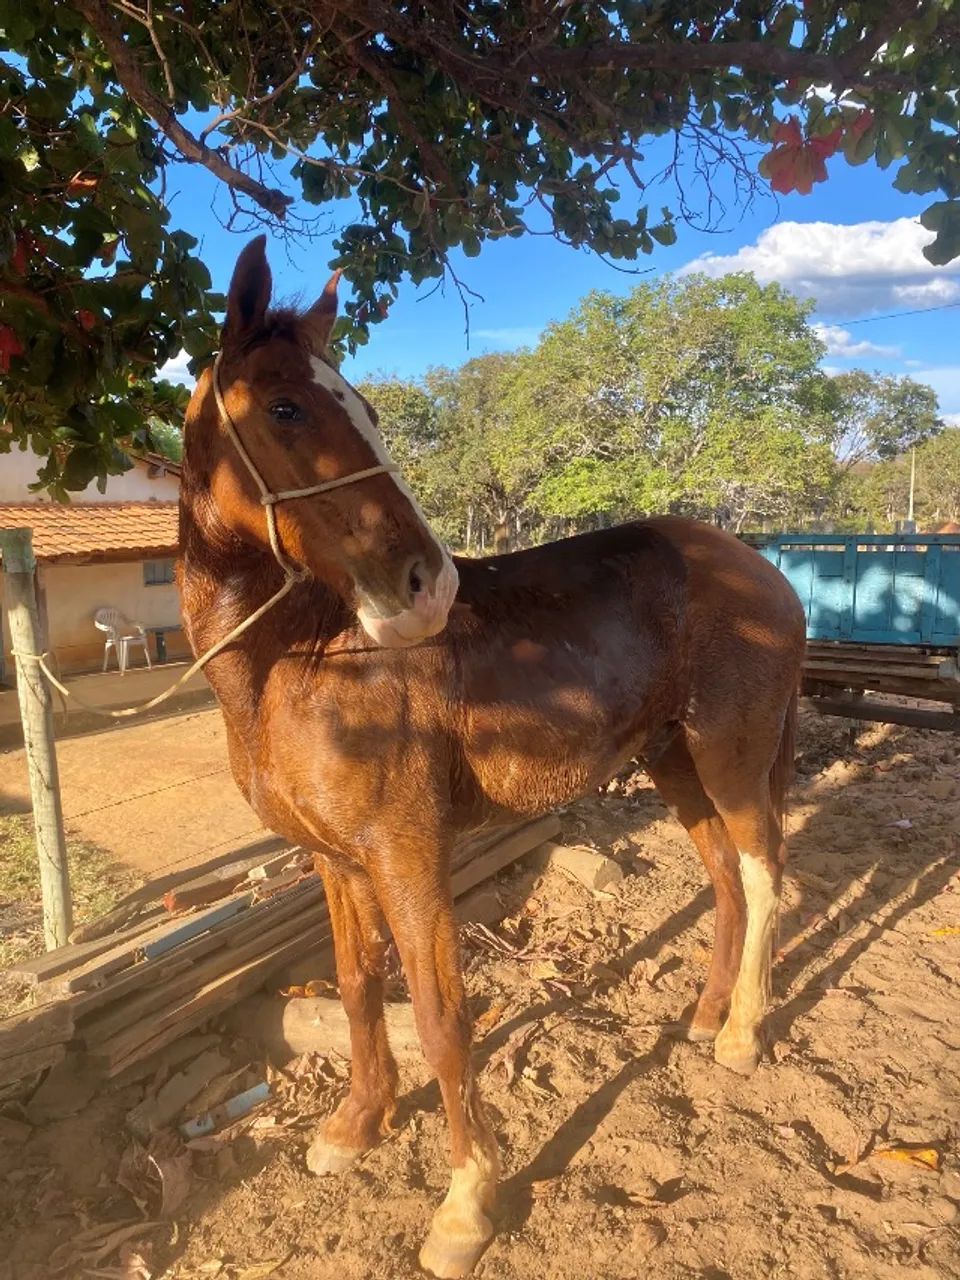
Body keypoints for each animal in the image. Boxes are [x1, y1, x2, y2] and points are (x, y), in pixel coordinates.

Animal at [179, 237, 807, 1278]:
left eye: (365, 408)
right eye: (286, 408)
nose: (425, 586)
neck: (298, 658)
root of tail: (764, 568)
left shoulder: (406, 855)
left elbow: (441, 1017)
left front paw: (466, 1205)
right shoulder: (334, 860)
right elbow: (358, 987)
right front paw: (355, 1128)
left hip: (730, 757)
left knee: (762, 878)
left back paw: (745, 1036)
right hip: (675, 762)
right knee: (723, 878)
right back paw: (707, 1015)